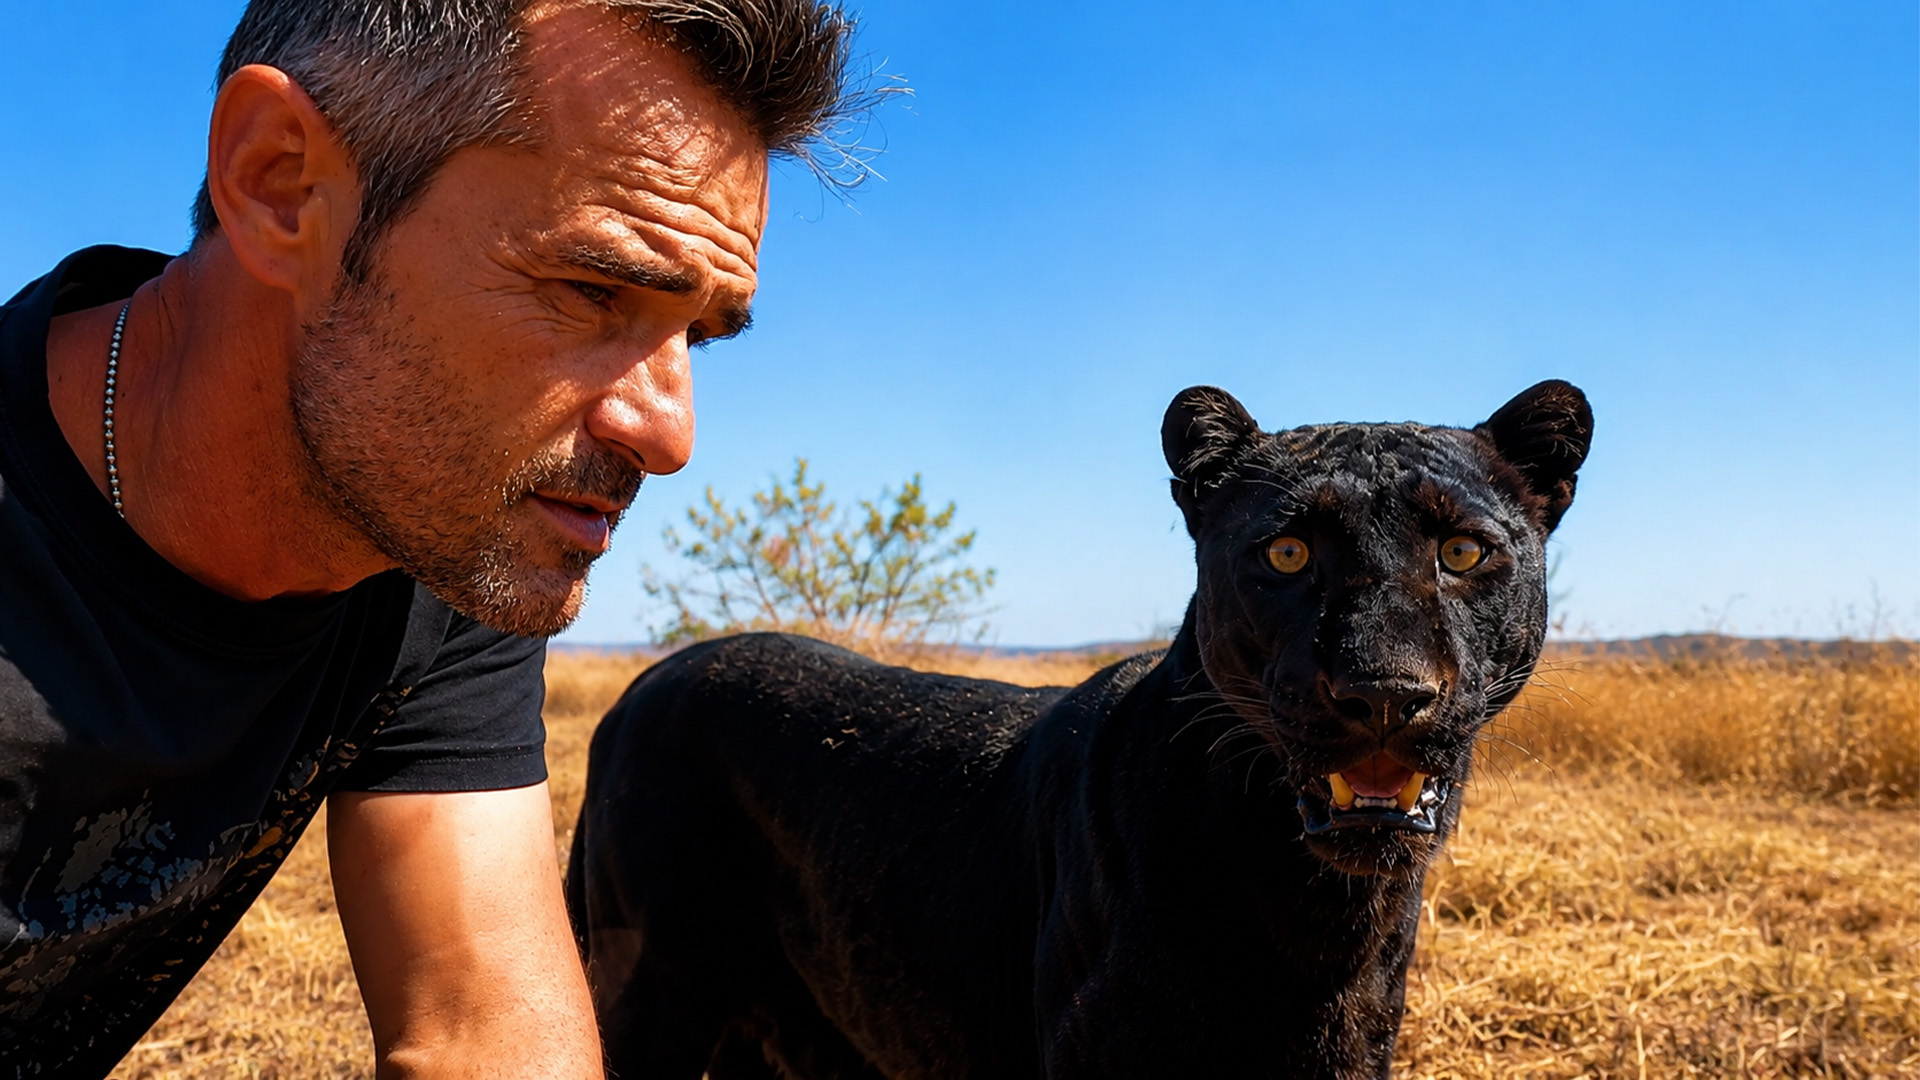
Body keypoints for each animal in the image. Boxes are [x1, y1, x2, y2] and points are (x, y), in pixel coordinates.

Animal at [566, 379, 1593, 1080]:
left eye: (1462, 552)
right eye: (1287, 552)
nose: (1381, 690)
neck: (1302, 906)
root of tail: (649, 679)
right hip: (647, 996)